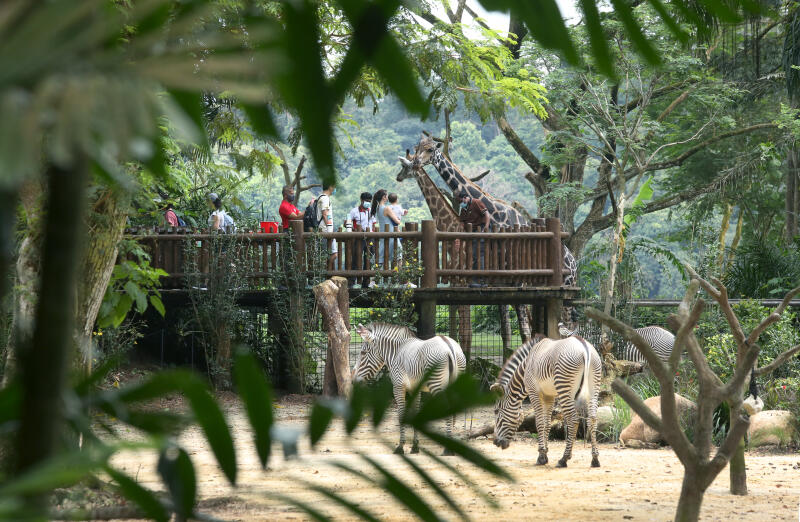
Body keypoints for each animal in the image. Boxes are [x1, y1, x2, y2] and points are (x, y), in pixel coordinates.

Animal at [352, 322, 468, 452]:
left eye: (363, 353)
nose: (352, 380)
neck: (396, 353)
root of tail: (448, 345)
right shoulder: (414, 389)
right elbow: (415, 413)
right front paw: (415, 446)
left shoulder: (398, 387)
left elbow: (401, 414)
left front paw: (401, 446)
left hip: (436, 384)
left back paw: (448, 450)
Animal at [412, 132, 576, 286]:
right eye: (417, 148)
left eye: (430, 149)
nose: (415, 162)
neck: (496, 214)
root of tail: (574, 262)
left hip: (568, 282)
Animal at [488, 336, 600, 466]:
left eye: (496, 411)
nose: (495, 442)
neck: (526, 366)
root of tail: (583, 346)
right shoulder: (549, 396)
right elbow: (547, 424)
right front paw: (545, 454)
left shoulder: (534, 393)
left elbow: (540, 423)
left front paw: (541, 456)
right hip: (593, 386)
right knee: (592, 419)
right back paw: (595, 459)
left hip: (564, 387)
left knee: (573, 419)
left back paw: (564, 459)